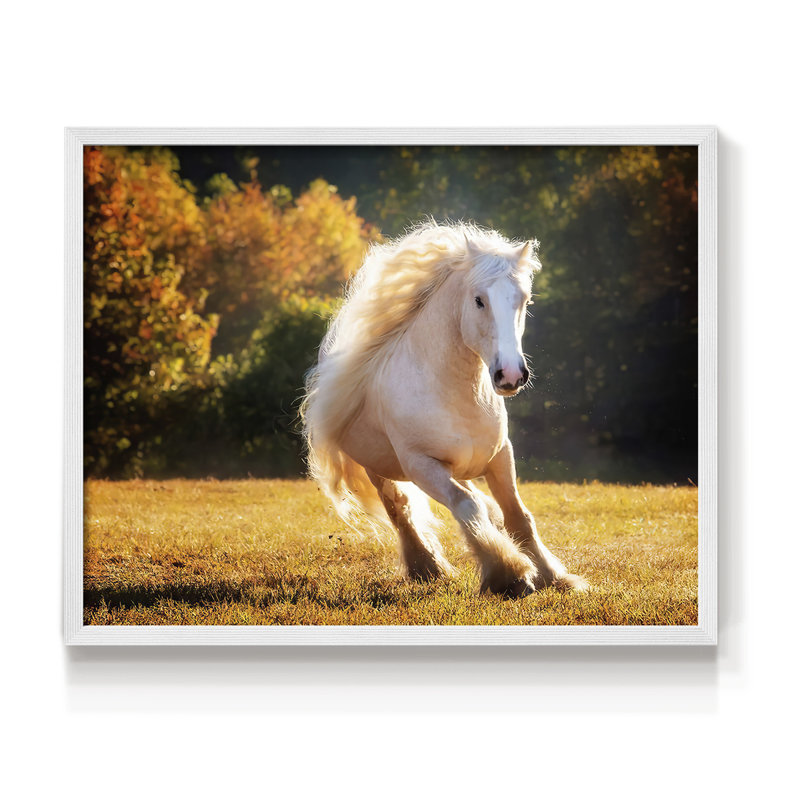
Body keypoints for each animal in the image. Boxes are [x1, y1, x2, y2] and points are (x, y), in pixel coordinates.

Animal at [301, 221, 586, 597]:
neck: (457, 394)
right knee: (401, 509)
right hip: (379, 469)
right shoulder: (422, 466)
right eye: (479, 300)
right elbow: (467, 506)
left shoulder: (499, 456)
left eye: (524, 300)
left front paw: (555, 576)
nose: (510, 375)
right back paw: (428, 567)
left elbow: (517, 515)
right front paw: (508, 574)